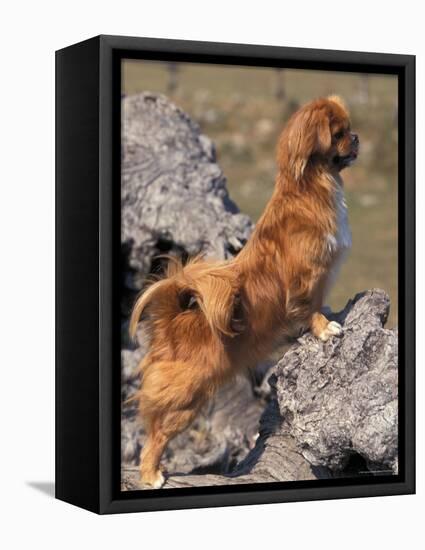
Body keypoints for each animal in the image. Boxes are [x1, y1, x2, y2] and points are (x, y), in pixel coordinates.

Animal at [128, 95, 358, 488]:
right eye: (340, 133)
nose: (356, 138)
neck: (312, 188)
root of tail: (172, 323)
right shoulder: (308, 277)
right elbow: (310, 304)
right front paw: (324, 328)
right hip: (187, 399)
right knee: (155, 435)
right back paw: (151, 474)